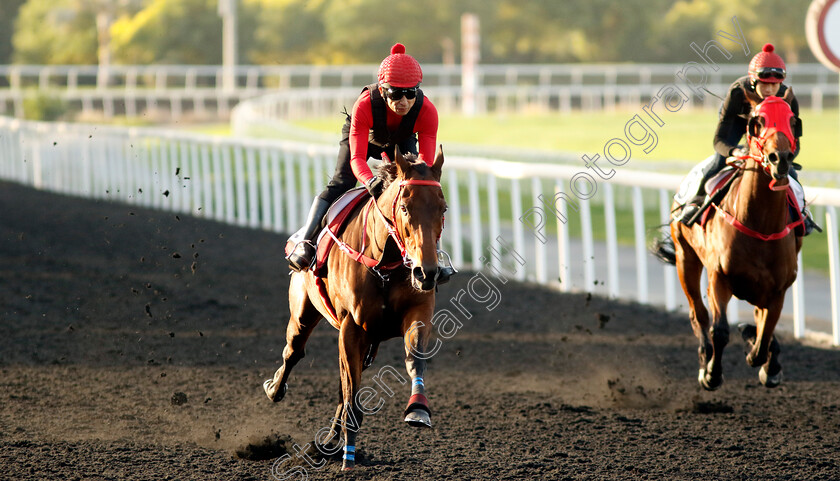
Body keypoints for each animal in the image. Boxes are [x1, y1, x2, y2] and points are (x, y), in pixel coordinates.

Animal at [264, 145, 446, 468]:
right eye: (404, 208)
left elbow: (414, 357)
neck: (386, 262)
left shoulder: (418, 313)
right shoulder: (352, 326)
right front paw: (348, 454)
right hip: (303, 312)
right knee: (294, 352)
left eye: (444, 209)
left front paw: (418, 409)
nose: (427, 273)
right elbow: (351, 388)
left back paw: (330, 439)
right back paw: (275, 389)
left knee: (343, 382)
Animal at [668, 91, 800, 390]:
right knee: (698, 312)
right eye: (757, 121)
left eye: (792, 121)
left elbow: (765, 336)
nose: (780, 158)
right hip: (685, 258)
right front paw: (711, 374)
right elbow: (719, 331)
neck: (760, 225)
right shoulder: (719, 277)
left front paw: (765, 362)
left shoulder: (778, 289)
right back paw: (704, 356)